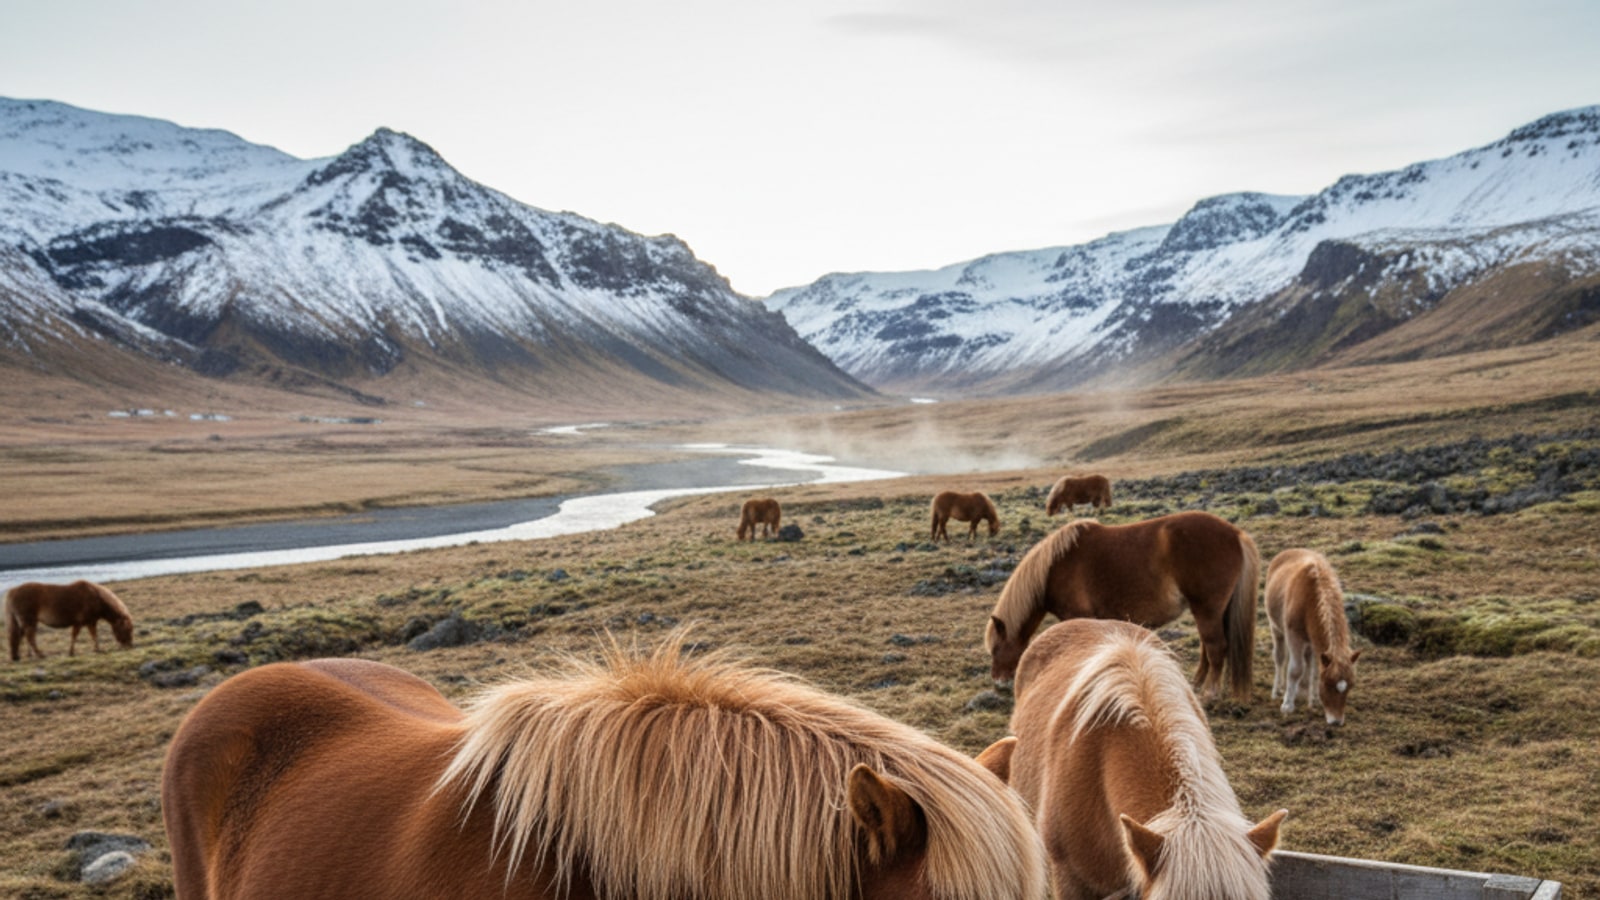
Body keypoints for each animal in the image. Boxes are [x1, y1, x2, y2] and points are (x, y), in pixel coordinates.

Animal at [985, 511, 1259, 702]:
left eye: (996, 648)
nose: (998, 683)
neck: (1054, 567)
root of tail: (1236, 534)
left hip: (1207, 608)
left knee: (1215, 647)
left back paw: (1209, 693)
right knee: (1207, 647)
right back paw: (1196, 683)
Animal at [1267, 548, 1361, 725]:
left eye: (1350, 686)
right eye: (1328, 684)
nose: (1336, 721)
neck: (1310, 598)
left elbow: (1315, 670)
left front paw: (1314, 700)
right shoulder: (1294, 636)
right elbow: (1295, 669)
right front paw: (1287, 705)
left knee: (1308, 662)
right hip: (1277, 629)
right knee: (1280, 658)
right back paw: (1278, 690)